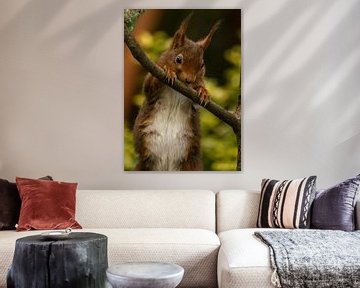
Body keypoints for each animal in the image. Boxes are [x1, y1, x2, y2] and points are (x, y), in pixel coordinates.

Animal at [134, 14, 221, 171]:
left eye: (202, 65)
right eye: (178, 59)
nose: (189, 80)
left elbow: (197, 101)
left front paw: (203, 92)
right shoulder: (152, 82)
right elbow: (149, 87)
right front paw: (168, 72)